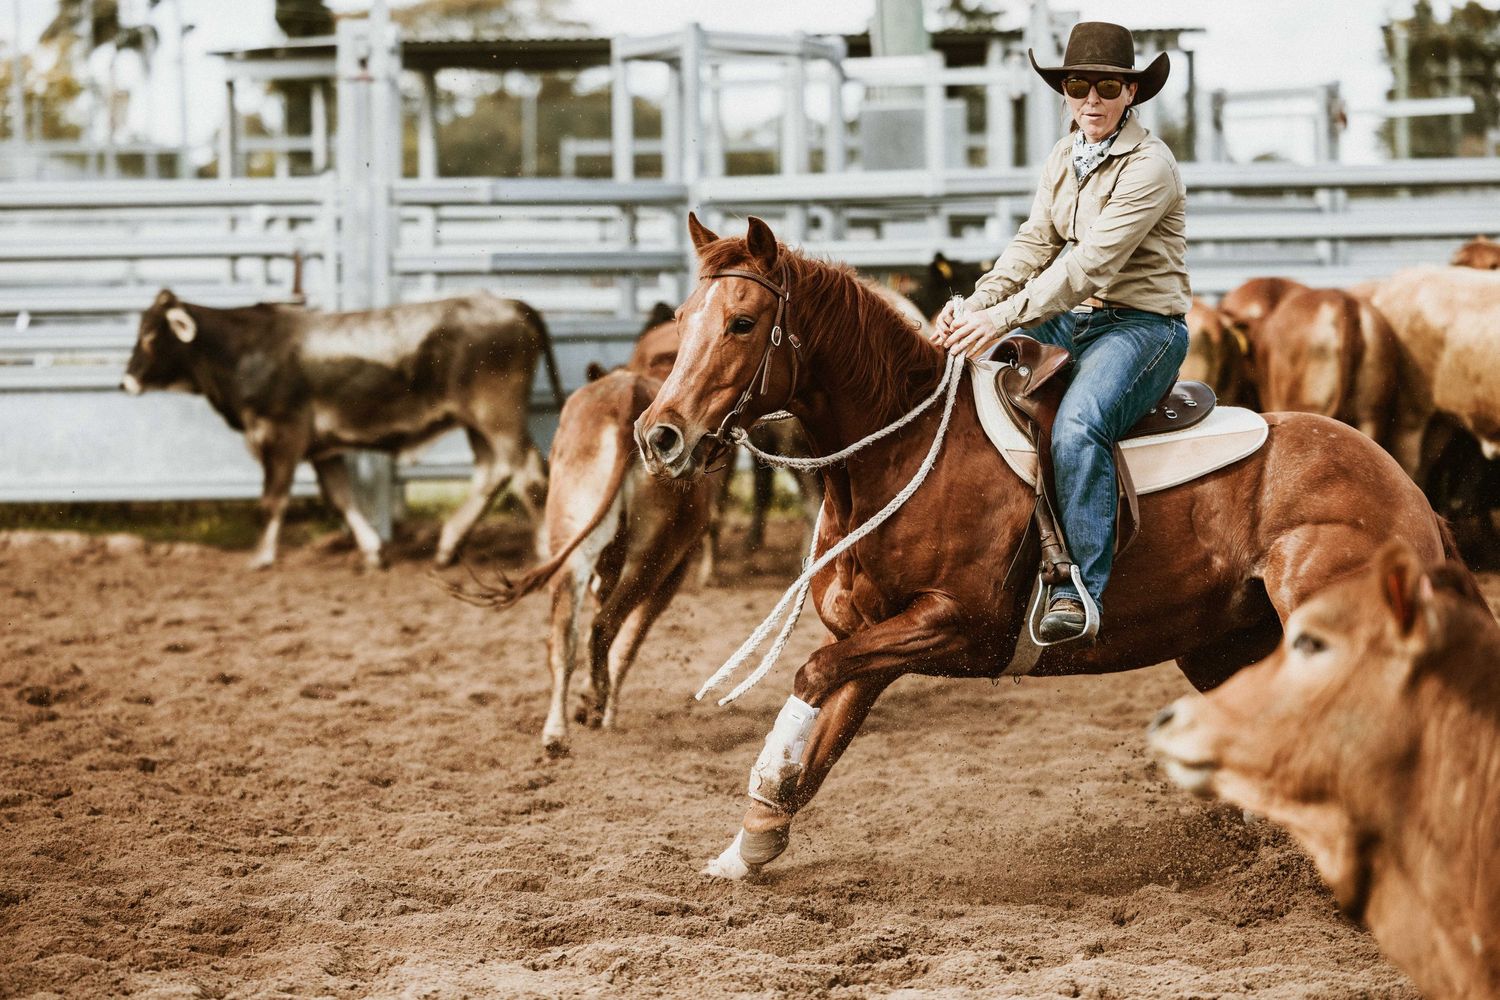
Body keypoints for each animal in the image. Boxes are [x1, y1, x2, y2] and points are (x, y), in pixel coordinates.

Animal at [123, 289, 557, 570]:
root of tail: (508, 304)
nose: (126, 382)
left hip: (497, 415)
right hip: (477, 422)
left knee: (528, 474)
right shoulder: (322, 450)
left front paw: (260, 557)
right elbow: (341, 497)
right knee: (493, 472)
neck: (244, 349)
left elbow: (272, 500)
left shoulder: (281, 436)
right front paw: (372, 551)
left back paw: (544, 550)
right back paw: (448, 546)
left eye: (150, 335)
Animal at [445, 367, 722, 756]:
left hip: (572, 538)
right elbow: (629, 643)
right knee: (606, 627)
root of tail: (629, 394)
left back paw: (556, 732)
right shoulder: (674, 571)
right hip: (653, 556)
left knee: (565, 637)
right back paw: (595, 704)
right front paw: (604, 712)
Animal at [634, 215, 1456, 881]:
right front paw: (750, 843)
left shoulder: (953, 623)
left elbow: (809, 673)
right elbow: (821, 737)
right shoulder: (874, 641)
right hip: (1224, 647)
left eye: (743, 322)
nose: (660, 435)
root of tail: (1403, 486)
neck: (904, 449)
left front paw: (762, 799)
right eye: (682, 317)